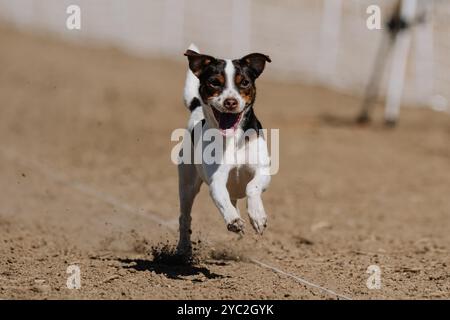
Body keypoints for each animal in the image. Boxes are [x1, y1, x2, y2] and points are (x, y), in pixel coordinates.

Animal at [178, 45, 272, 255]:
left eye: (244, 82)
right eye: (214, 82)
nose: (230, 102)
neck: (233, 139)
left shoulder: (262, 171)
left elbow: (252, 187)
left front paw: (257, 215)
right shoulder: (217, 178)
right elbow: (221, 196)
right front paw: (233, 220)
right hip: (187, 184)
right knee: (185, 216)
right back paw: (183, 249)